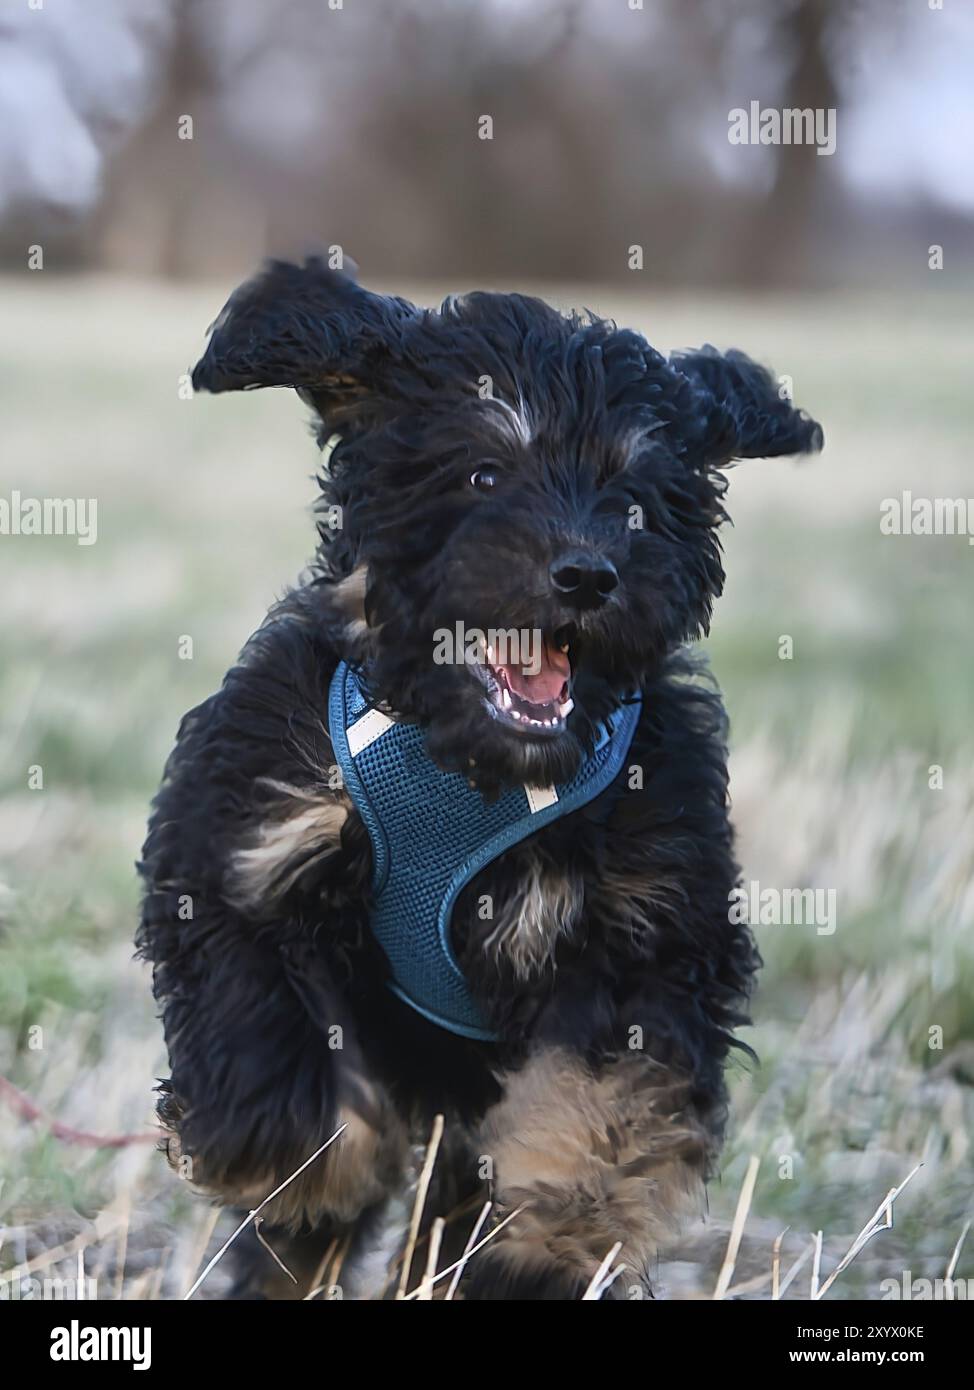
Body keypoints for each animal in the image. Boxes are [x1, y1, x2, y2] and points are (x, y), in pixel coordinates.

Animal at [136, 255, 822, 1295]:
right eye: (484, 472)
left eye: (634, 496)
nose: (587, 574)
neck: (476, 773)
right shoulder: (243, 846)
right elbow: (265, 1023)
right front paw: (289, 1157)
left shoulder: (649, 928)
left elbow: (600, 1102)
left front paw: (549, 1241)